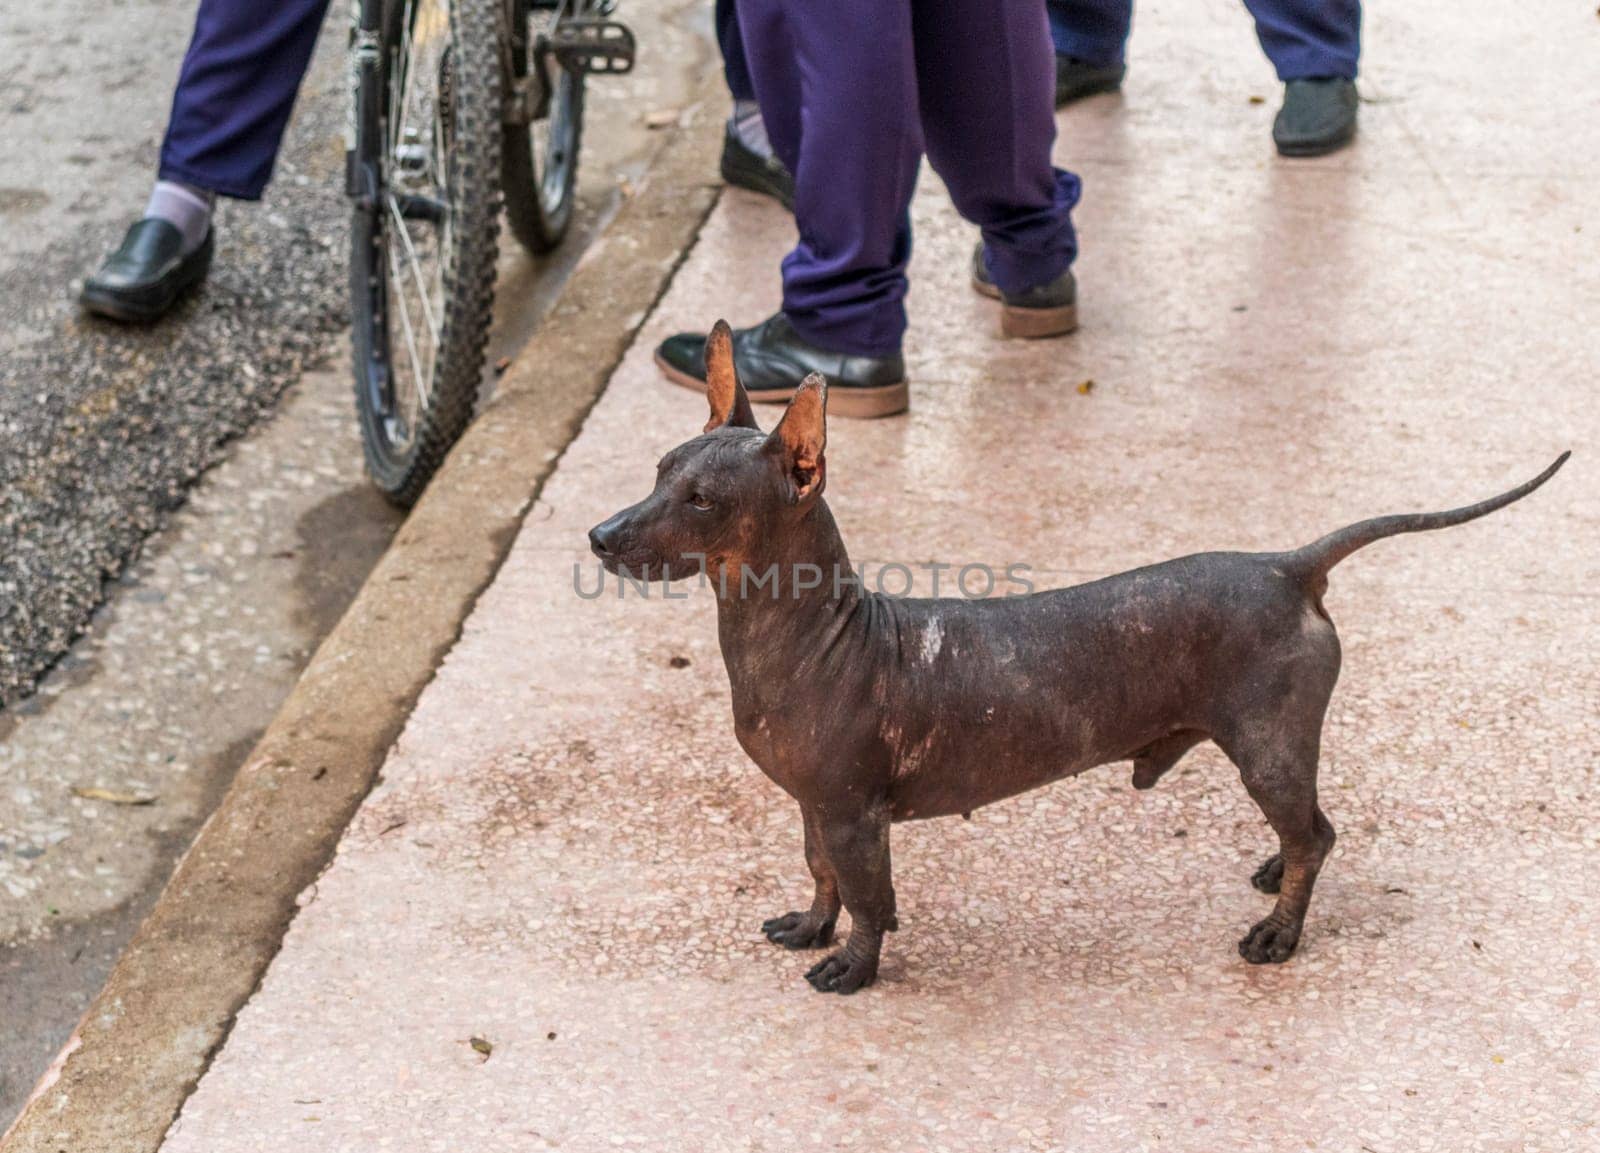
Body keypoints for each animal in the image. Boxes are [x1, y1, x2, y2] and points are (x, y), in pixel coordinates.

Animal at [592, 319, 1561, 991]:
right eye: (659, 468)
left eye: (703, 499)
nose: (599, 536)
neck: (806, 632)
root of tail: (1286, 564)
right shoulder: (815, 805)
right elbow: (820, 873)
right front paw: (811, 925)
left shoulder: (855, 813)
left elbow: (870, 898)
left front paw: (854, 966)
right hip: (1276, 745)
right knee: (1307, 831)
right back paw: (1273, 868)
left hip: (1268, 742)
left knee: (1316, 833)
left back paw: (1279, 933)